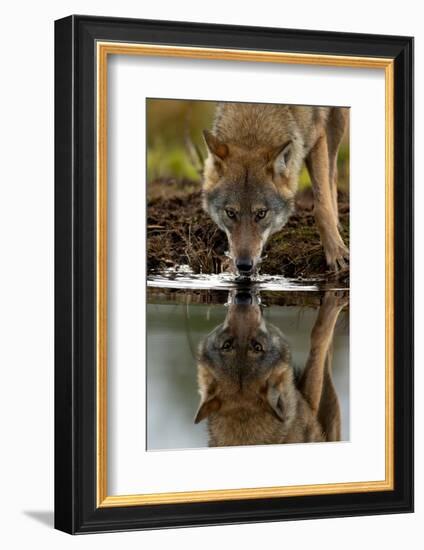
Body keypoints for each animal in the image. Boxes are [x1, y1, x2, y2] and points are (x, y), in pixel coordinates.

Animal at [194, 292, 346, 450]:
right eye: (258, 346)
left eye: (226, 345)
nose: (243, 298)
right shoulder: (310, 403)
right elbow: (318, 337)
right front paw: (335, 300)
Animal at [204, 102, 350, 278]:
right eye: (230, 213)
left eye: (261, 214)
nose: (244, 265)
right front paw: (232, 267)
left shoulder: (317, 136)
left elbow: (321, 208)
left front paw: (337, 253)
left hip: (338, 120)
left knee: (332, 173)